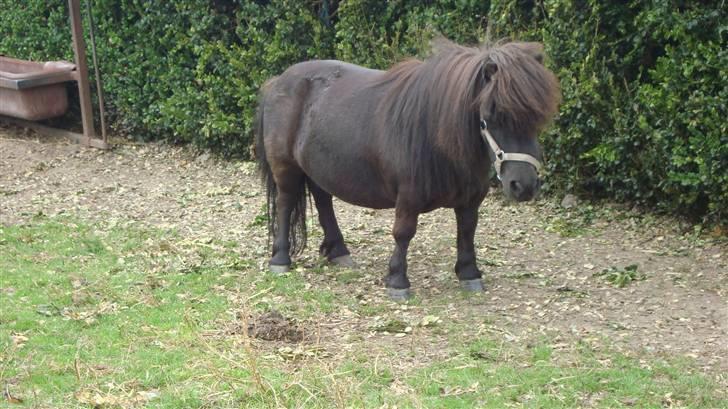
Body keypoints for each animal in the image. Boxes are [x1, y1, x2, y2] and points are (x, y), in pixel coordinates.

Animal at [255, 39, 561, 300]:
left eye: (538, 118)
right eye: (491, 116)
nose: (524, 186)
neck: (435, 133)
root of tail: (277, 81)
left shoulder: (471, 199)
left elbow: (467, 230)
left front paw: (469, 273)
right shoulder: (409, 196)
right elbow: (404, 232)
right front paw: (398, 280)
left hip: (320, 166)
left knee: (323, 200)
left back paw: (339, 251)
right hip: (286, 167)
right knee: (285, 204)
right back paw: (280, 259)